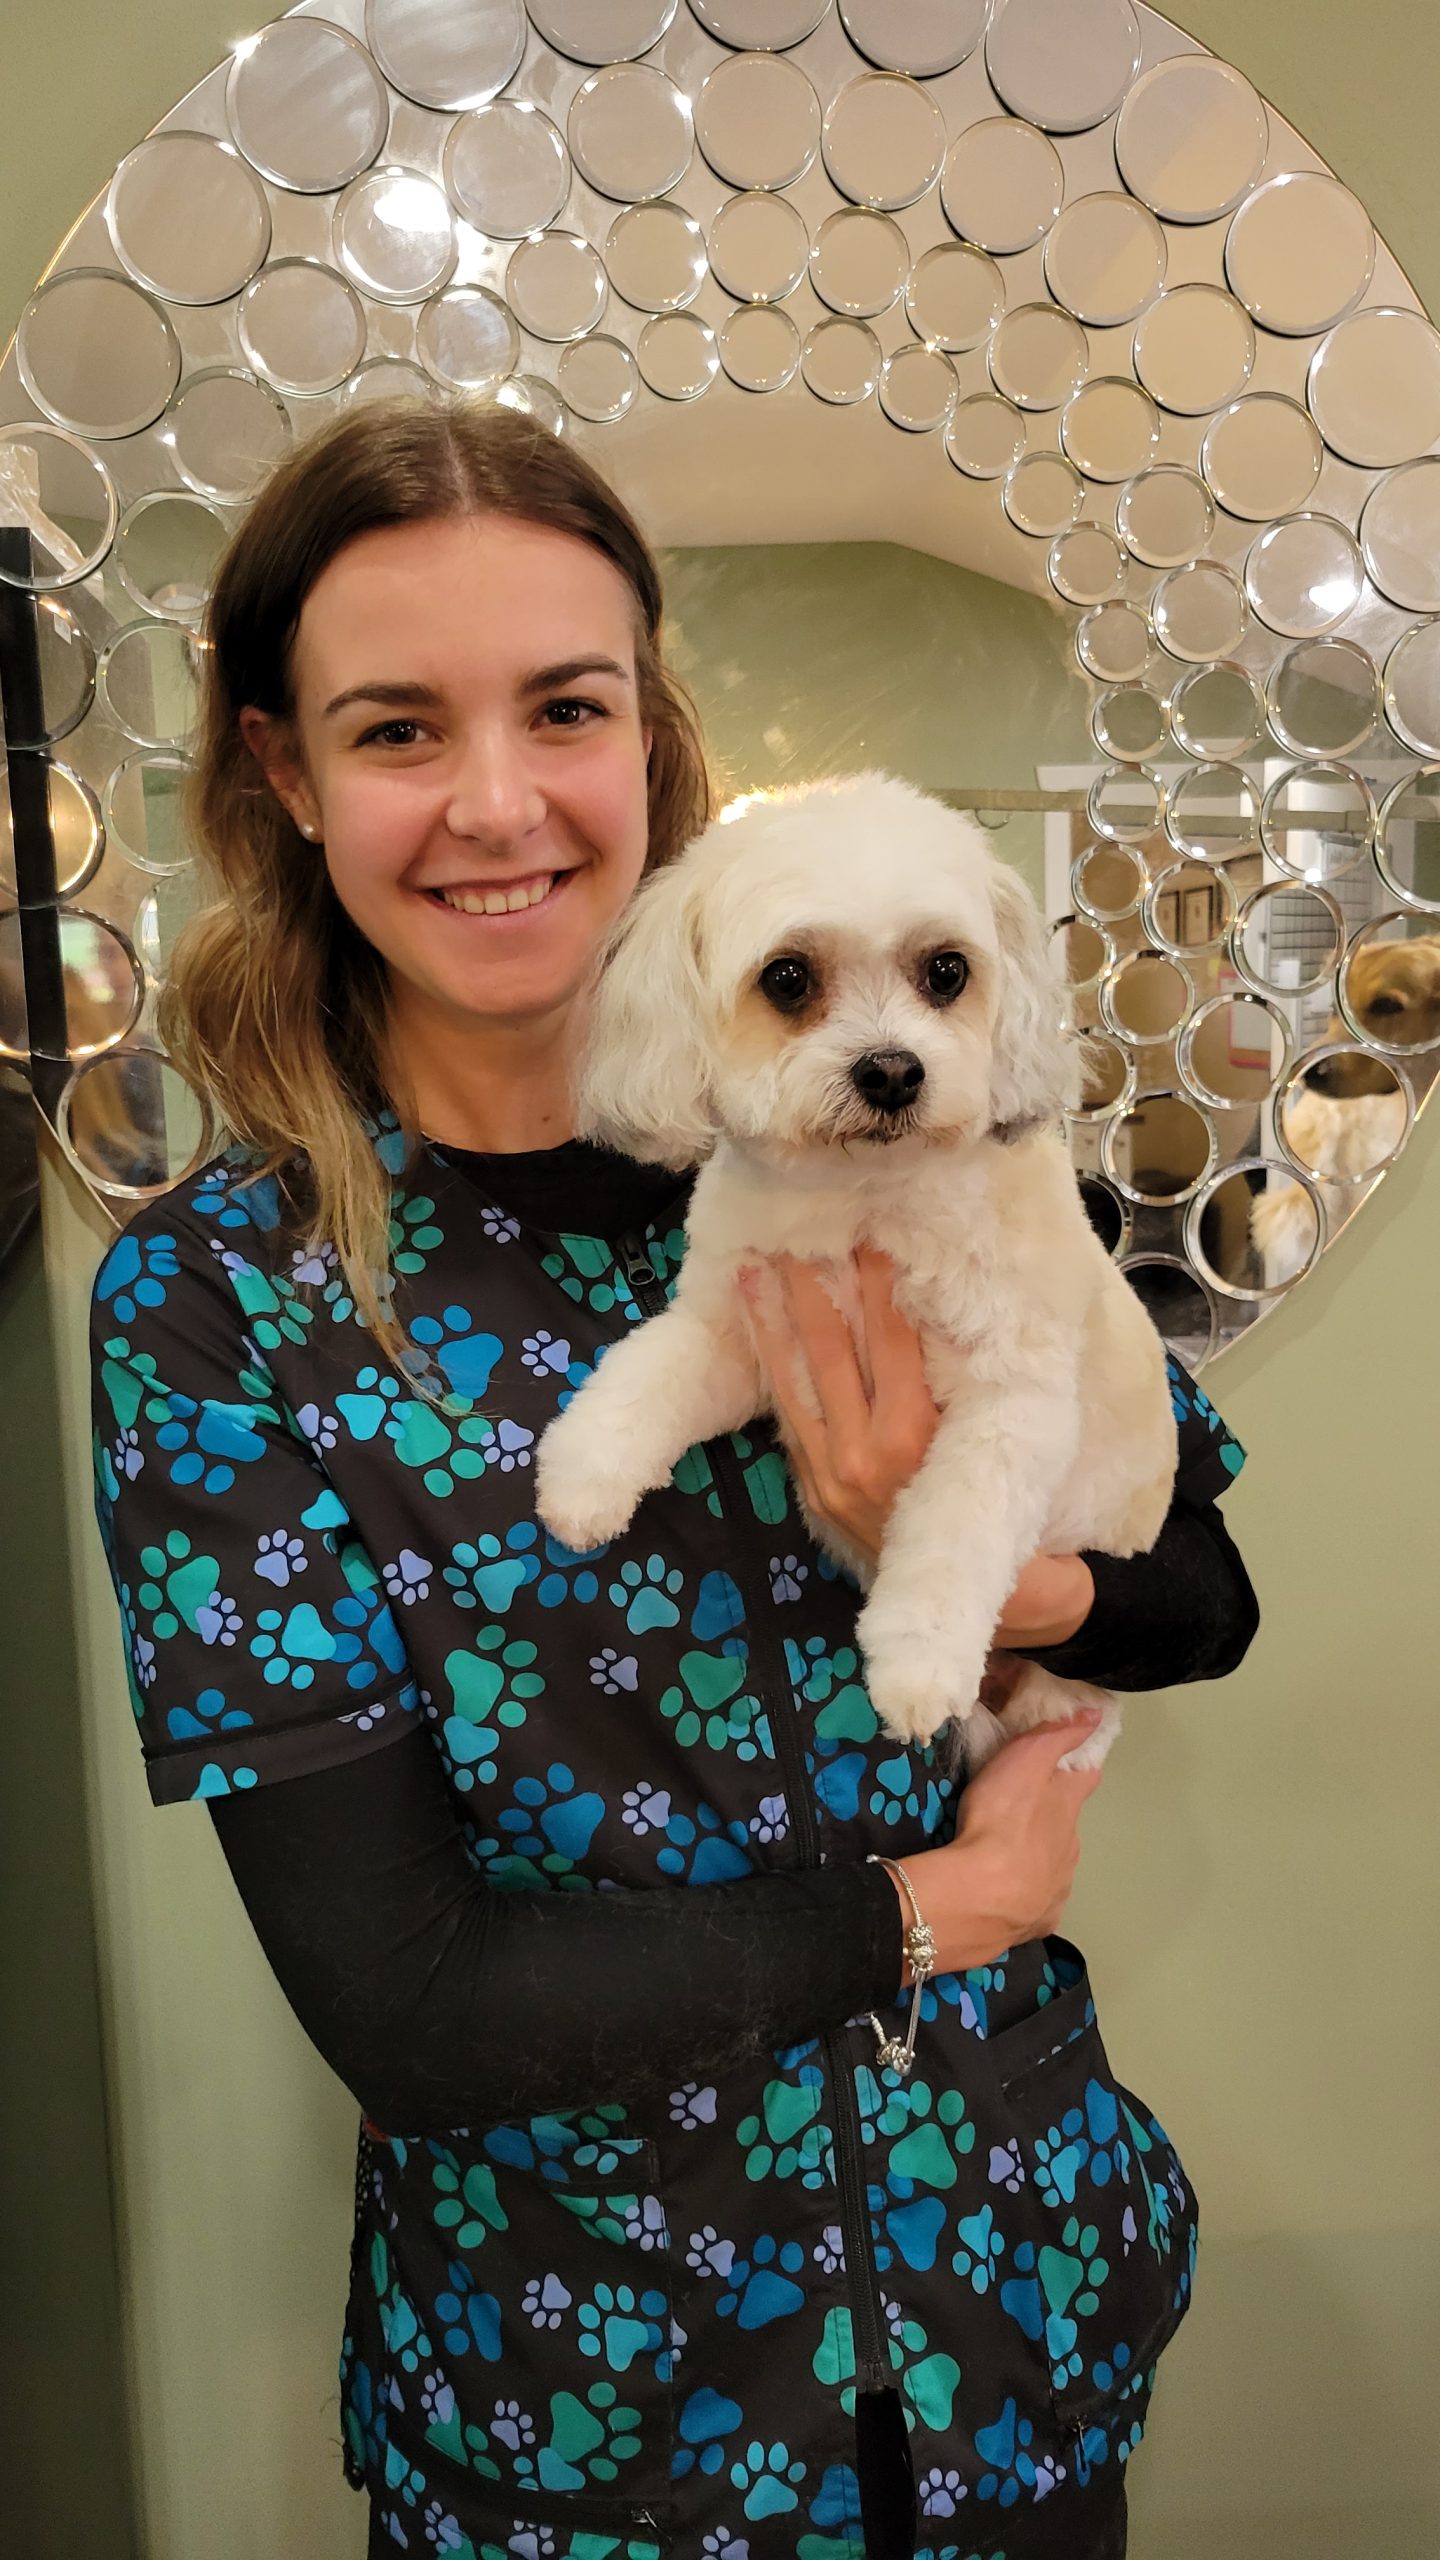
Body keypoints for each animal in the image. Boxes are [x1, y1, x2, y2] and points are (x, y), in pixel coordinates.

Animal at [535, 774, 1177, 1770]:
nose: (891, 1072)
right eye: (788, 977)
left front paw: (917, 1667)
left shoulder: (1011, 1405)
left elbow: (954, 1536)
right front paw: (582, 1476)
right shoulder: (745, 1334)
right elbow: (646, 1376)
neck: (862, 1196)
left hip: (1068, 1690)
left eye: (946, 972)